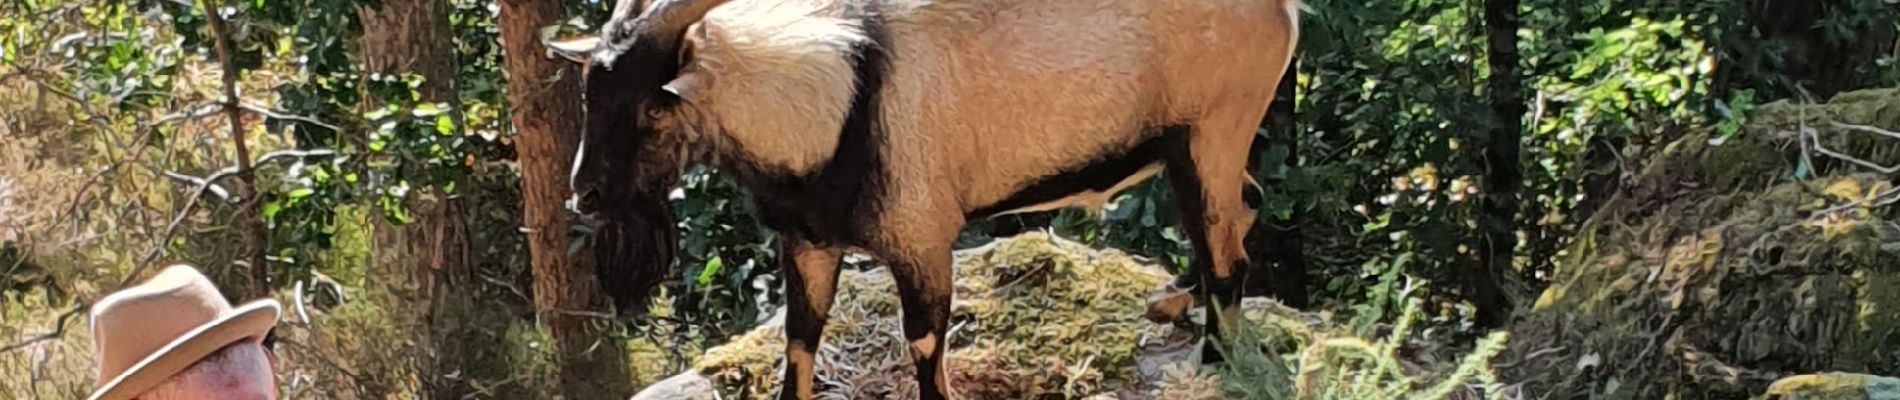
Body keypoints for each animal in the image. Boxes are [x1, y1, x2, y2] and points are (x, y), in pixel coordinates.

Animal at [547, 0, 1292, 396]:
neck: (845, 99)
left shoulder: (924, 239)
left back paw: (1212, 364)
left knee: (1227, 255)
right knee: (1245, 209)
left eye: (652, 106)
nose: (585, 194)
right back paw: (1169, 301)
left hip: (1211, 132)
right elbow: (799, 342)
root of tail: (1283, 13)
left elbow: (925, 350)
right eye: (589, 89)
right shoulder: (811, 244)